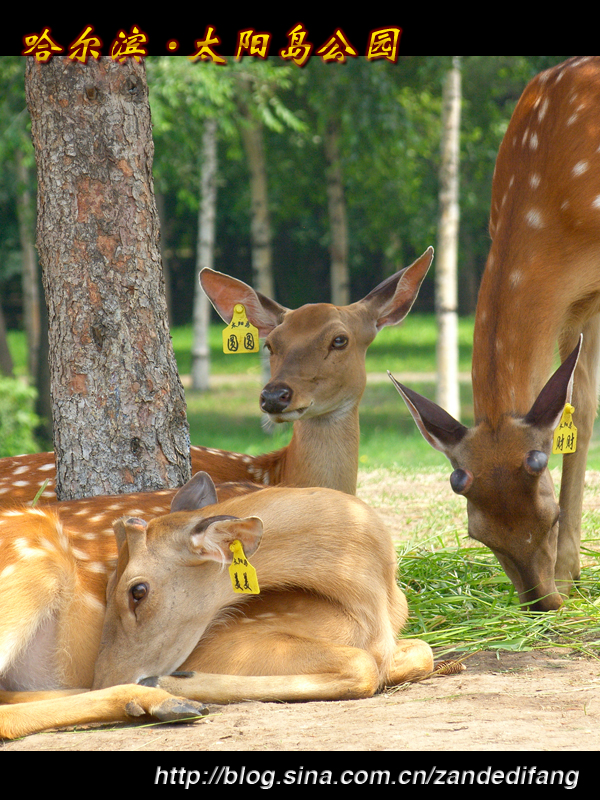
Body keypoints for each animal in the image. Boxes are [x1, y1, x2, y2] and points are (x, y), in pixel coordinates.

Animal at [0, 472, 434, 740]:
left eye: (136, 591)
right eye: (106, 588)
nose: (103, 676)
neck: (373, 600)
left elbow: (421, 652)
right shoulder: (227, 641)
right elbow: (364, 665)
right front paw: (178, 680)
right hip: (29, 572)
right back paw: (162, 698)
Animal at [390, 56, 600, 608]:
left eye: (548, 518)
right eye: (478, 535)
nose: (542, 603)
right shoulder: (576, 302)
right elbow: (580, 407)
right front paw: (572, 573)